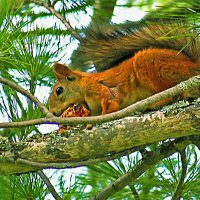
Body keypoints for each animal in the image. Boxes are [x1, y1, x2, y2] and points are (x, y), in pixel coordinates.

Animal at [48, 22, 200, 116]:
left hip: (150, 66)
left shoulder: (98, 88)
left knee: (173, 94)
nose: (53, 112)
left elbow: (111, 102)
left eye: (59, 90)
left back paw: (157, 103)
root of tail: (193, 65)